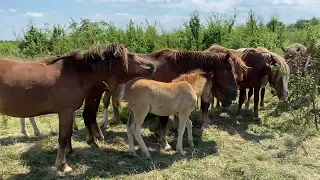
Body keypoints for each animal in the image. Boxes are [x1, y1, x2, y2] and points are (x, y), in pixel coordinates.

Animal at [0, 43, 156, 172]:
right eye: (131, 55)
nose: (152, 66)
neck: (76, 74)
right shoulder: (66, 111)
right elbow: (63, 137)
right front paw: (63, 165)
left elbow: (69, 133)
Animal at [81, 47, 249, 149]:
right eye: (228, 71)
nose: (234, 94)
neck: (176, 65)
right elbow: (163, 121)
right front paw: (164, 142)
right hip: (95, 94)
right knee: (89, 114)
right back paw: (95, 137)